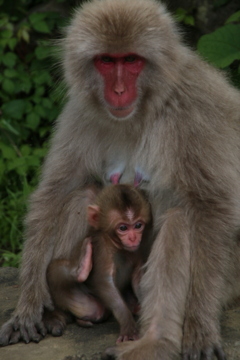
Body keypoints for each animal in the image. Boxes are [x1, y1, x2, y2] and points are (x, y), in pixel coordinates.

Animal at [47, 186, 152, 344]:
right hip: (83, 303)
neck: (118, 246)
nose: (133, 238)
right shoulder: (102, 248)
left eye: (138, 225)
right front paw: (128, 324)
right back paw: (81, 268)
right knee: (54, 270)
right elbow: (104, 281)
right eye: (123, 228)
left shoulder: (139, 248)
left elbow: (138, 279)